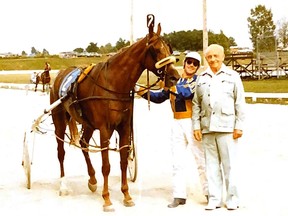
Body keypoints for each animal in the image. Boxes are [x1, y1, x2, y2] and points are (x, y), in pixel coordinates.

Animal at [49, 17, 180, 212]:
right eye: (155, 49)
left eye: (170, 49)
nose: (174, 76)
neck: (114, 83)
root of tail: (60, 74)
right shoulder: (105, 129)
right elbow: (106, 166)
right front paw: (107, 199)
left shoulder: (124, 128)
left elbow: (123, 161)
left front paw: (126, 195)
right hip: (59, 121)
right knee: (61, 152)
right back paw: (63, 186)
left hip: (88, 124)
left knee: (84, 143)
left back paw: (92, 179)